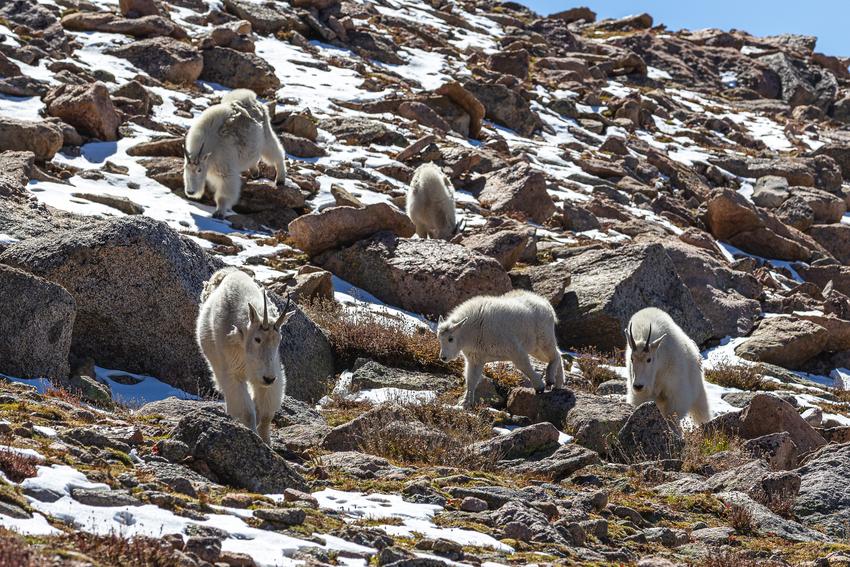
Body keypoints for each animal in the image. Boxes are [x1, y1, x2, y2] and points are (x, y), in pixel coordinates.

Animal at [182, 89, 284, 220]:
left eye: (199, 170)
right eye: (186, 168)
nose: (190, 192)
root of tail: (254, 100)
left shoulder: (226, 170)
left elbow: (224, 194)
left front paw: (219, 213)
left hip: (267, 137)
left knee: (277, 154)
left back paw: (280, 179)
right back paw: (255, 172)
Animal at [195, 268, 294, 446]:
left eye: (279, 339)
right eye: (257, 339)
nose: (268, 379)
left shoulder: (271, 371)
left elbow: (266, 412)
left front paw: (267, 442)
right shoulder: (233, 372)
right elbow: (247, 411)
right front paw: (254, 437)